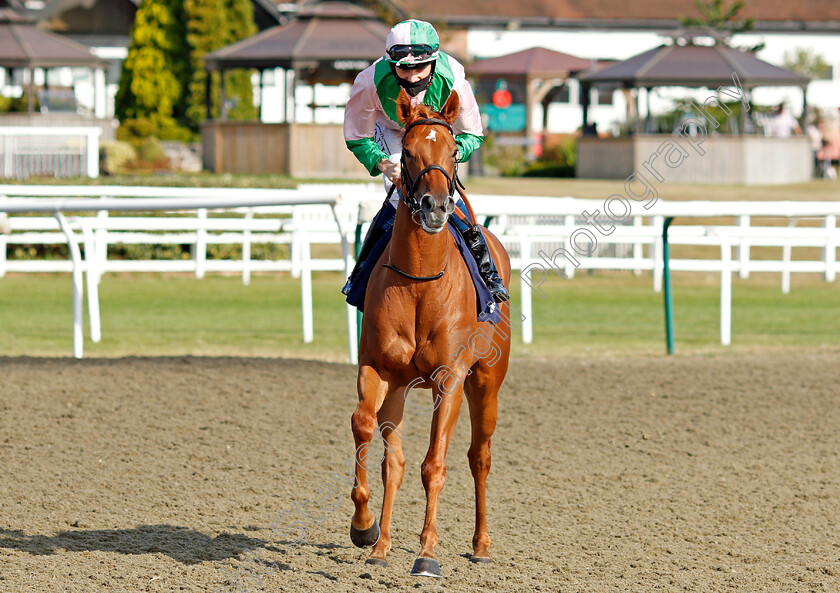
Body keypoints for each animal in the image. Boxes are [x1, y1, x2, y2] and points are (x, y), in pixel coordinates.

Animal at [348, 90, 512, 576]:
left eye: (454, 151)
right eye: (406, 151)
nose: (435, 206)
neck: (420, 281)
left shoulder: (449, 379)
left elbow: (434, 464)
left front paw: (427, 553)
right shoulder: (378, 369)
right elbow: (367, 429)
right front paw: (366, 530)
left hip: (487, 383)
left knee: (480, 456)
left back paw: (481, 544)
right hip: (402, 388)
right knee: (395, 459)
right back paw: (381, 544)